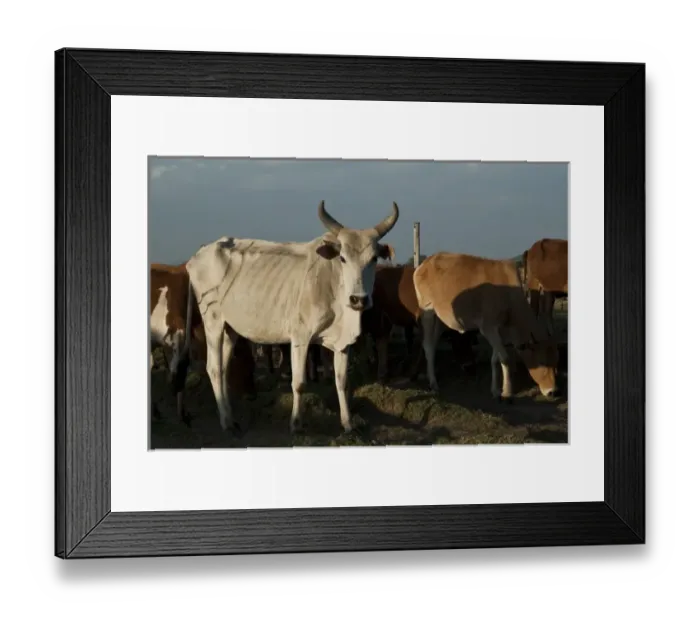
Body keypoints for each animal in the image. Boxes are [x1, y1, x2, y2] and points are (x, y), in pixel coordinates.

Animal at [181, 200, 400, 434]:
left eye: (374, 258)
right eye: (343, 258)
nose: (359, 299)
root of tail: (197, 255)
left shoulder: (342, 344)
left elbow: (342, 382)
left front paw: (347, 423)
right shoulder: (300, 338)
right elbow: (299, 383)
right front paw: (296, 423)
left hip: (230, 329)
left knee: (223, 369)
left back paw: (230, 416)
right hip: (212, 322)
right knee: (213, 368)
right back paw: (226, 422)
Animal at [412, 252, 560, 401]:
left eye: (556, 362)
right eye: (542, 362)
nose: (553, 392)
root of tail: (424, 264)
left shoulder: (500, 331)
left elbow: (495, 359)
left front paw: (495, 391)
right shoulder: (489, 328)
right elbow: (505, 358)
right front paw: (507, 393)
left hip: (440, 320)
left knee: (433, 345)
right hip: (428, 311)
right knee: (428, 347)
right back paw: (433, 383)